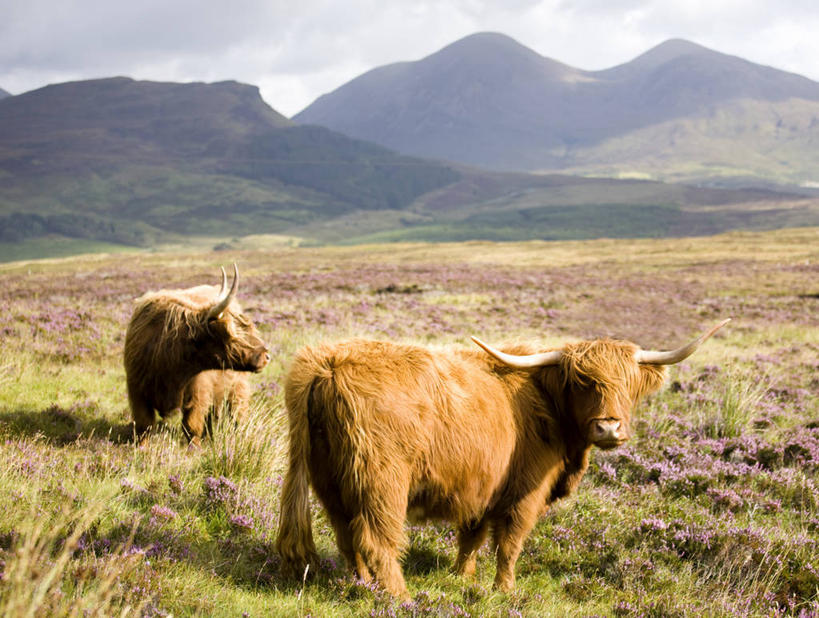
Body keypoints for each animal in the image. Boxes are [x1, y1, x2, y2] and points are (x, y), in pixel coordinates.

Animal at [123, 262, 270, 440]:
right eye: (233, 334)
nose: (266, 356)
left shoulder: (197, 392)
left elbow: (191, 425)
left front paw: (194, 446)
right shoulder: (137, 391)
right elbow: (144, 426)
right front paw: (142, 446)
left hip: (237, 386)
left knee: (236, 411)